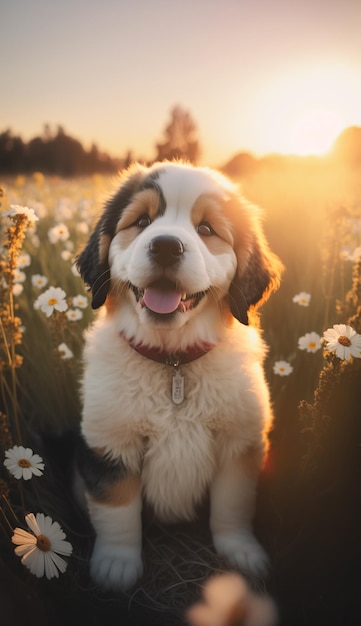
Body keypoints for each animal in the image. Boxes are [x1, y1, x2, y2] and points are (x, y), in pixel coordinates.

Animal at [74, 158, 282, 588]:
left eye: (206, 229)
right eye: (142, 221)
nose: (166, 245)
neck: (173, 363)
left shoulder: (240, 441)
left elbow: (233, 504)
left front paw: (242, 552)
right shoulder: (108, 440)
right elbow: (116, 508)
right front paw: (116, 565)